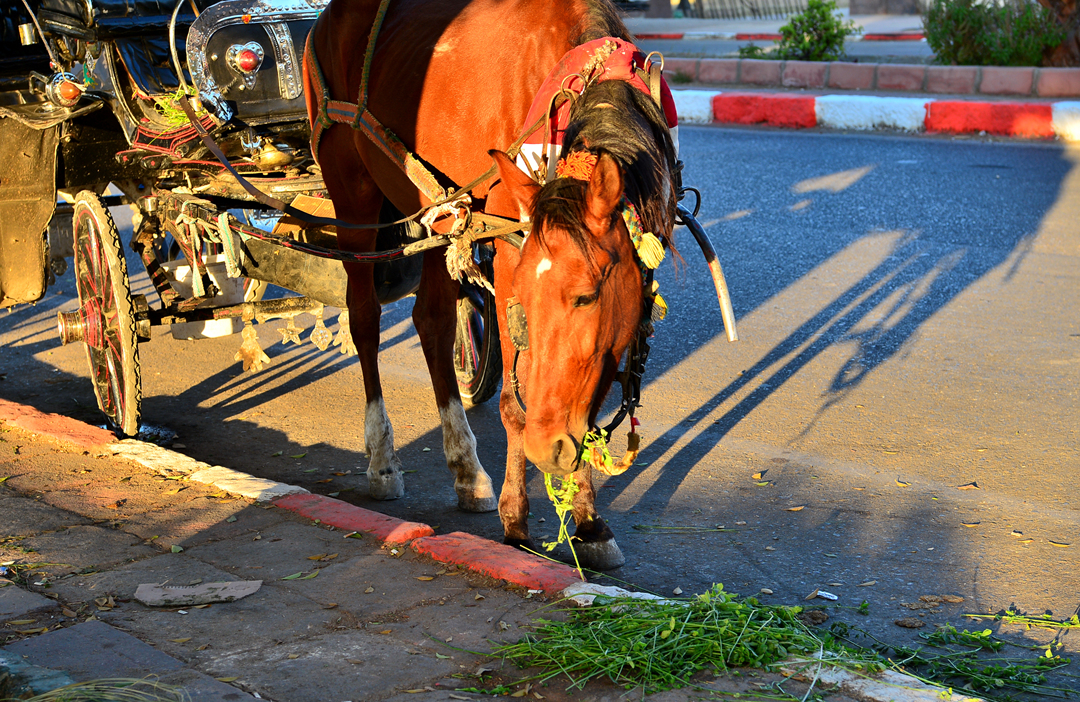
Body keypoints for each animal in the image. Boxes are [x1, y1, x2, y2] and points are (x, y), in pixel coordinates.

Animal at [305, 0, 720, 569]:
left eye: (587, 295)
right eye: (522, 293)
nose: (548, 450)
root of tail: (327, 16)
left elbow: (584, 401)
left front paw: (588, 523)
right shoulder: (506, 247)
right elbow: (515, 404)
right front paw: (517, 520)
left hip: (438, 211)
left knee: (432, 323)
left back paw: (465, 467)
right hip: (353, 190)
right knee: (364, 317)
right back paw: (382, 458)